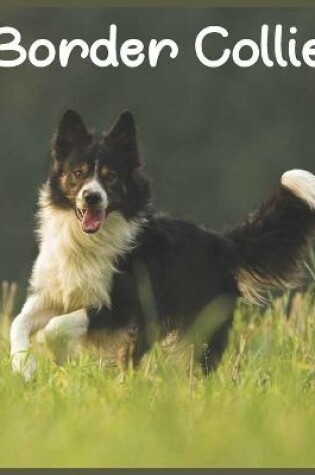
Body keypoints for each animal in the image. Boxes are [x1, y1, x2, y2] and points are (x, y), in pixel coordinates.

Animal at [9, 109, 315, 382]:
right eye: (78, 173)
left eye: (110, 176)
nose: (92, 197)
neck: (87, 240)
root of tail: (222, 242)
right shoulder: (53, 293)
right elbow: (18, 322)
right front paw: (25, 368)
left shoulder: (122, 306)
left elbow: (54, 328)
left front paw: (61, 357)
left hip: (195, 327)